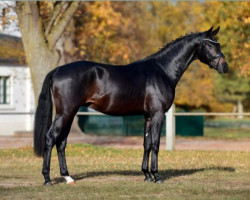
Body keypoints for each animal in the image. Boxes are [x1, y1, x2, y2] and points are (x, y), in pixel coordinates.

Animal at [33, 25, 229, 185]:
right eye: (210, 45)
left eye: (218, 44)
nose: (225, 67)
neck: (162, 70)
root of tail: (58, 70)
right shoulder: (158, 114)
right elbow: (156, 143)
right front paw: (157, 176)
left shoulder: (148, 116)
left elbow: (146, 143)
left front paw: (147, 175)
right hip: (65, 113)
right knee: (50, 138)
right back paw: (47, 179)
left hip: (70, 113)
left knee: (61, 142)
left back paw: (68, 177)